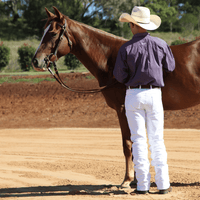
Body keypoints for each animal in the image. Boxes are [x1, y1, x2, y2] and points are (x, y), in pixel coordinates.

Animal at [31, 6, 200, 188]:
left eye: (53, 33)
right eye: (44, 31)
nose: (36, 61)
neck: (110, 59)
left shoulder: (122, 109)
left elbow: (128, 143)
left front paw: (127, 180)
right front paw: (136, 180)